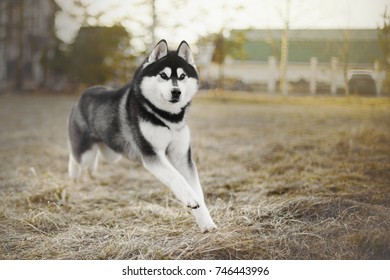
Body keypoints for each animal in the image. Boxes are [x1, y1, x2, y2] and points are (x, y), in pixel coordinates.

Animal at [68, 39, 218, 232]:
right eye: (163, 75)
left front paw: (206, 223)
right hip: (85, 152)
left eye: (183, 76)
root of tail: (83, 93)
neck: (167, 118)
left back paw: (90, 174)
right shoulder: (152, 154)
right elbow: (176, 177)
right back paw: (73, 176)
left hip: (111, 154)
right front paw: (190, 198)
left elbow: (195, 188)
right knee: (75, 156)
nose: (176, 91)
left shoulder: (182, 156)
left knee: (93, 160)